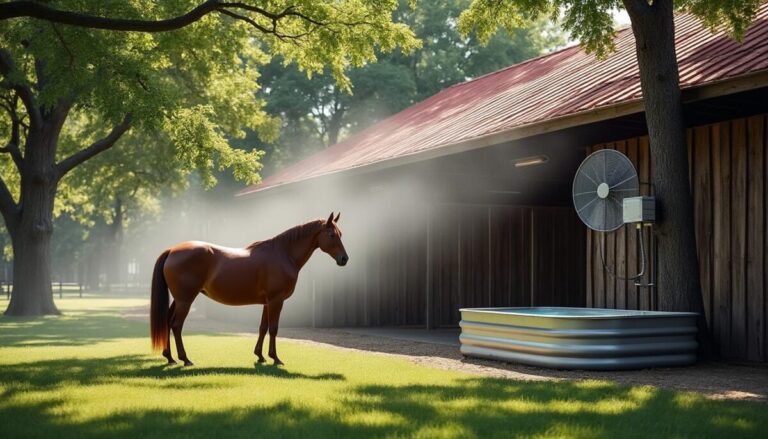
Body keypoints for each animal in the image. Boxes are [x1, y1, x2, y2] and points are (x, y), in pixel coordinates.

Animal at [149, 212, 348, 366]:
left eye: (340, 234)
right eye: (332, 235)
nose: (344, 259)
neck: (284, 254)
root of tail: (172, 250)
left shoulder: (267, 302)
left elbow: (263, 328)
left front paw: (260, 356)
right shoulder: (276, 300)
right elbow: (274, 328)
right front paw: (276, 358)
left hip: (179, 299)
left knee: (167, 322)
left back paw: (170, 358)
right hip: (185, 300)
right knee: (176, 325)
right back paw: (185, 359)